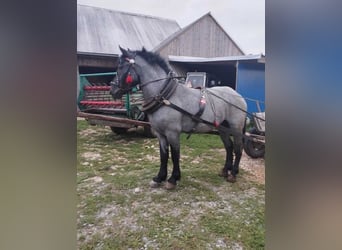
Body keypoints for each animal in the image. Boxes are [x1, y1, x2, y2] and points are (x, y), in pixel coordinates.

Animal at [111, 46, 247, 189]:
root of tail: (238, 95)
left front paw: (173, 179)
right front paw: (159, 178)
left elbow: (175, 154)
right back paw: (225, 171)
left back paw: (233, 174)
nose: (112, 90)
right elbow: (163, 155)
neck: (166, 97)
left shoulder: (173, 132)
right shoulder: (160, 134)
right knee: (229, 147)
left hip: (236, 128)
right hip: (223, 128)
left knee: (238, 148)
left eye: (121, 66)